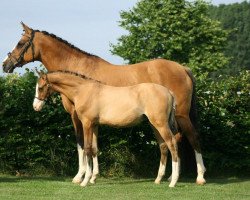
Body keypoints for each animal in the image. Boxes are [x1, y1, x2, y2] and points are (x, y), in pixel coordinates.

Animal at [32, 70, 180, 188]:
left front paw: (84, 181)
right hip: (154, 125)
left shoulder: (86, 123)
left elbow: (87, 148)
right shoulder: (94, 125)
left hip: (161, 124)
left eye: (41, 87)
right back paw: (158, 179)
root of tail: (169, 92)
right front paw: (92, 178)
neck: (83, 90)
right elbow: (94, 149)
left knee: (172, 144)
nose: (35, 106)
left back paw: (173, 181)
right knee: (163, 146)